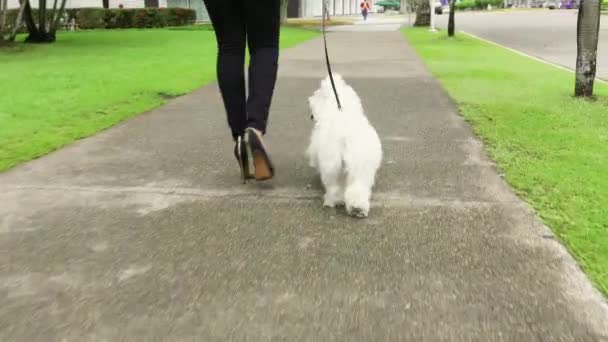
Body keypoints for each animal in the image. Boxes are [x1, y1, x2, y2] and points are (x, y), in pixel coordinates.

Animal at [306, 75, 382, 219]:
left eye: (316, 95)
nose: (311, 115)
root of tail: (346, 137)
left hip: (332, 166)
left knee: (334, 187)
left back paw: (332, 201)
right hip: (360, 168)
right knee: (357, 189)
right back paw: (358, 209)